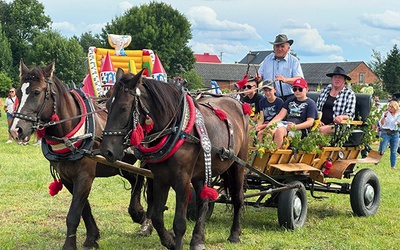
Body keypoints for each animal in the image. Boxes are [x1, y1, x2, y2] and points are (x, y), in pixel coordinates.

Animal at [9, 60, 153, 250]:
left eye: (36, 92)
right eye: (18, 92)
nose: (16, 130)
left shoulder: (84, 175)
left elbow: (73, 214)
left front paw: (70, 245)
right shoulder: (67, 177)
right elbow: (84, 209)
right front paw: (92, 237)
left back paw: (144, 220)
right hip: (119, 165)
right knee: (136, 179)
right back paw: (139, 214)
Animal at [101, 69, 247, 250]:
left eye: (123, 108)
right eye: (107, 105)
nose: (107, 151)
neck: (175, 130)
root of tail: (236, 102)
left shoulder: (182, 181)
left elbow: (179, 223)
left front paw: (175, 242)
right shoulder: (160, 179)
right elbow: (157, 216)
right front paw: (169, 240)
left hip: (238, 165)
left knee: (238, 198)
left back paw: (234, 234)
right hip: (200, 173)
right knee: (203, 201)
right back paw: (198, 239)